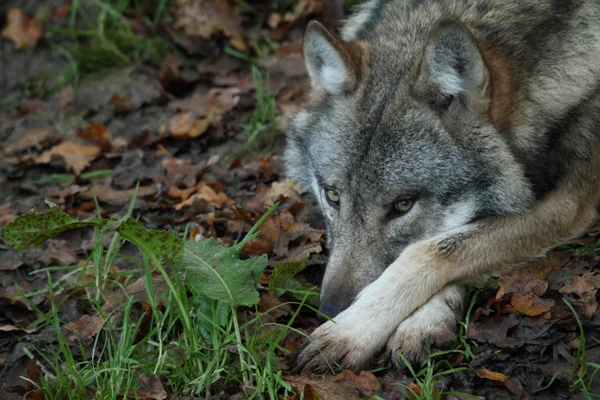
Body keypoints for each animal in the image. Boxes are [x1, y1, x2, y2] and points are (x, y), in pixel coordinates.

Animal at [284, 0, 600, 372]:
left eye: (403, 205)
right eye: (332, 196)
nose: (331, 311)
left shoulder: (566, 205)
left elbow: (428, 251)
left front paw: (351, 329)